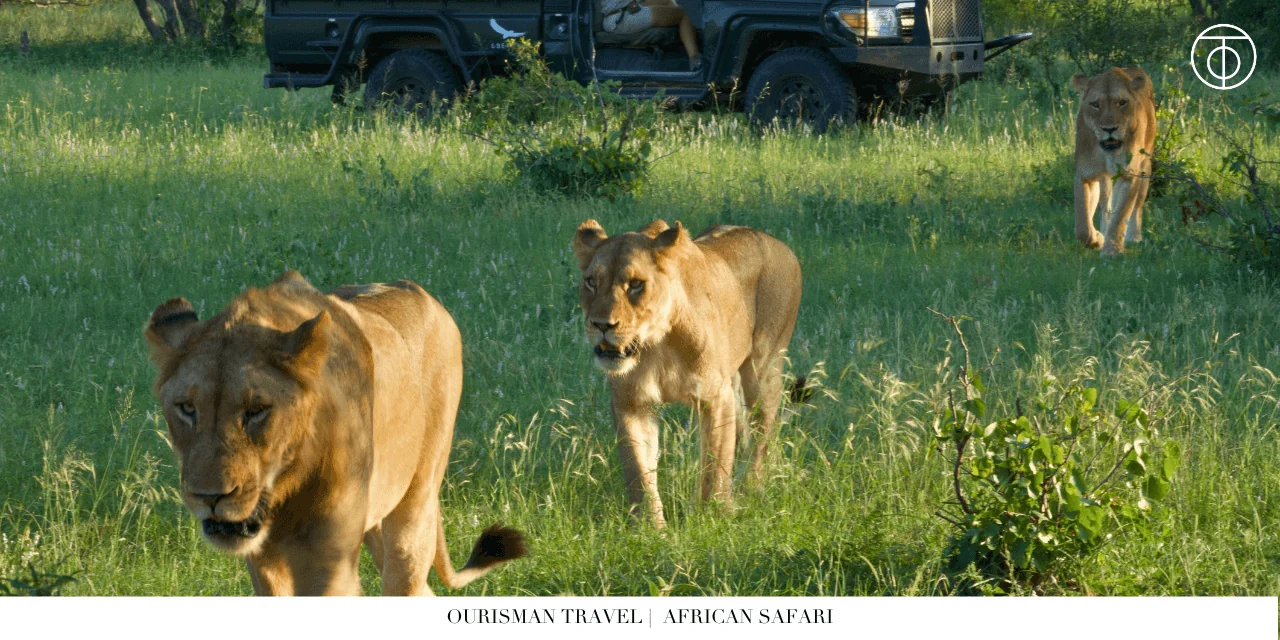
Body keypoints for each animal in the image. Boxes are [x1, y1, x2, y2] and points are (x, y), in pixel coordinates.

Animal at [144, 271, 526, 595]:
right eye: (187, 408)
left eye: (256, 411)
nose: (209, 497)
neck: (287, 488)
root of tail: (423, 295)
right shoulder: (265, 563)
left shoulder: (329, 561)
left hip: (414, 511)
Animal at [572, 220, 802, 527]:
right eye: (591, 282)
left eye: (636, 284)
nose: (601, 325)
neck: (656, 344)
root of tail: (778, 243)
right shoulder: (631, 403)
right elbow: (638, 469)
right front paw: (651, 528)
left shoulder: (715, 398)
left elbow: (714, 464)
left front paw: (712, 517)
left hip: (764, 369)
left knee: (763, 433)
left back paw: (750, 490)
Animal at [1072, 66, 1157, 257]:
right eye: (1095, 104)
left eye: (1122, 102)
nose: (1109, 129)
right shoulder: (1085, 174)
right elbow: (1083, 225)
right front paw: (1097, 238)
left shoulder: (1129, 175)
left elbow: (1121, 215)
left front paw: (1112, 251)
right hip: (1105, 179)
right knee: (1106, 206)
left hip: (1145, 167)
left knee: (1136, 206)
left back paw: (1133, 237)